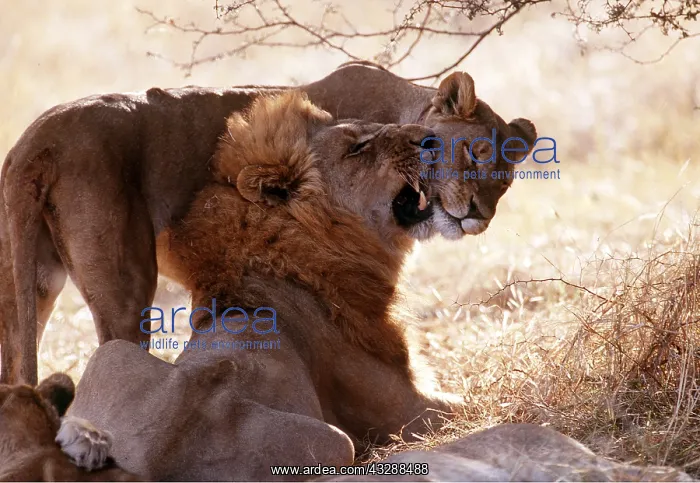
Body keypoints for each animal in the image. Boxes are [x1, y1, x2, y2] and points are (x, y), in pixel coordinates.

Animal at [62, 91, 463, 481]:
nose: (431, 137)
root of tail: (155, 459)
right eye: (357, 148)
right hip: (335, 442)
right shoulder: (406, 410)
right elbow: (461, 401)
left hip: (110, 354)